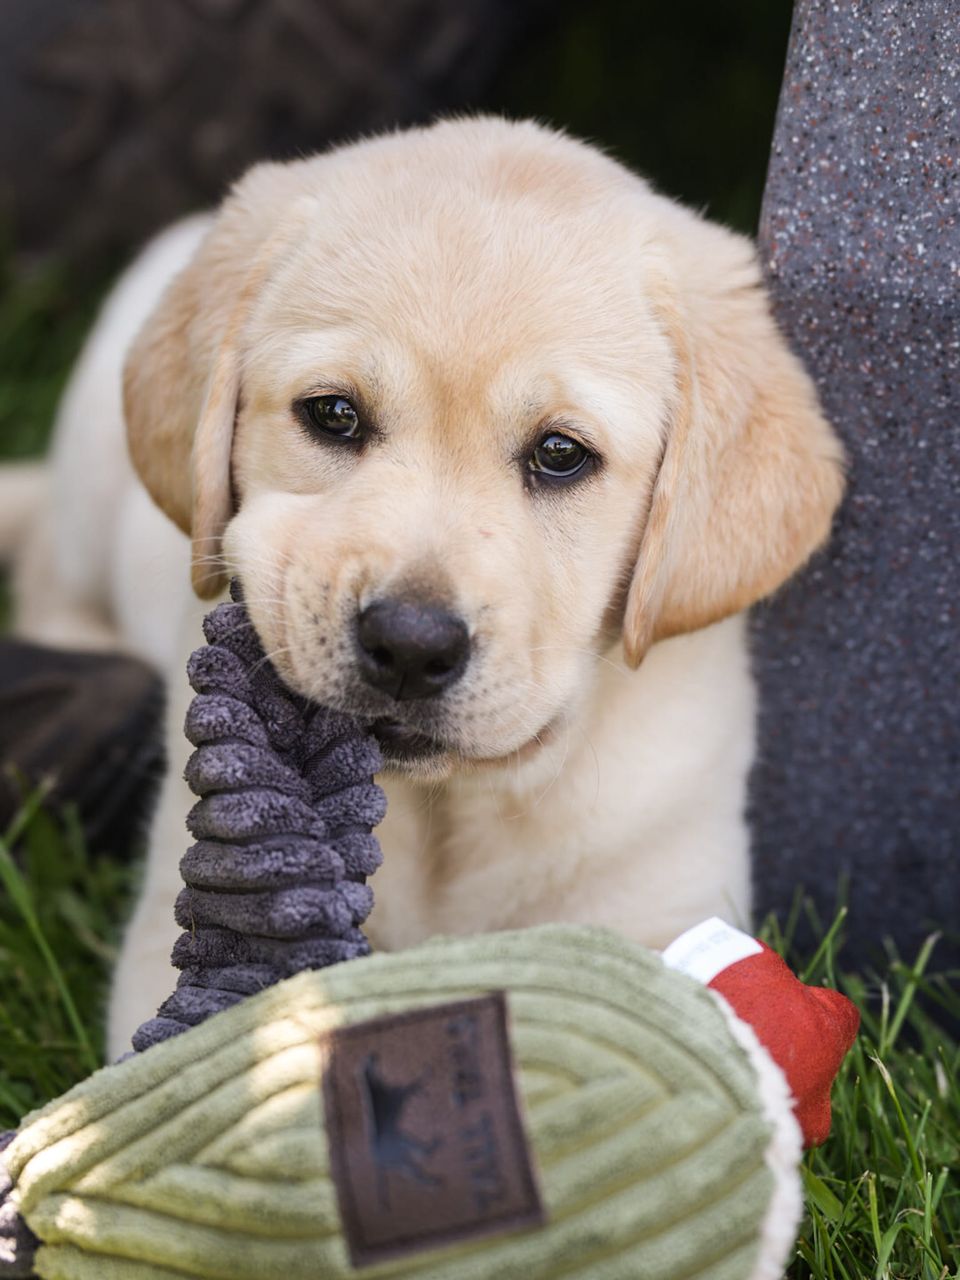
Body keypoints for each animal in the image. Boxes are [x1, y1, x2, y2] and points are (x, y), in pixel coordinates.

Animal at [3, 120, 839, 1059]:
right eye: (333, 415)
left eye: (561, 454)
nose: (409, 645)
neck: (452, 808)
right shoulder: (165, 939)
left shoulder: (666, 896)